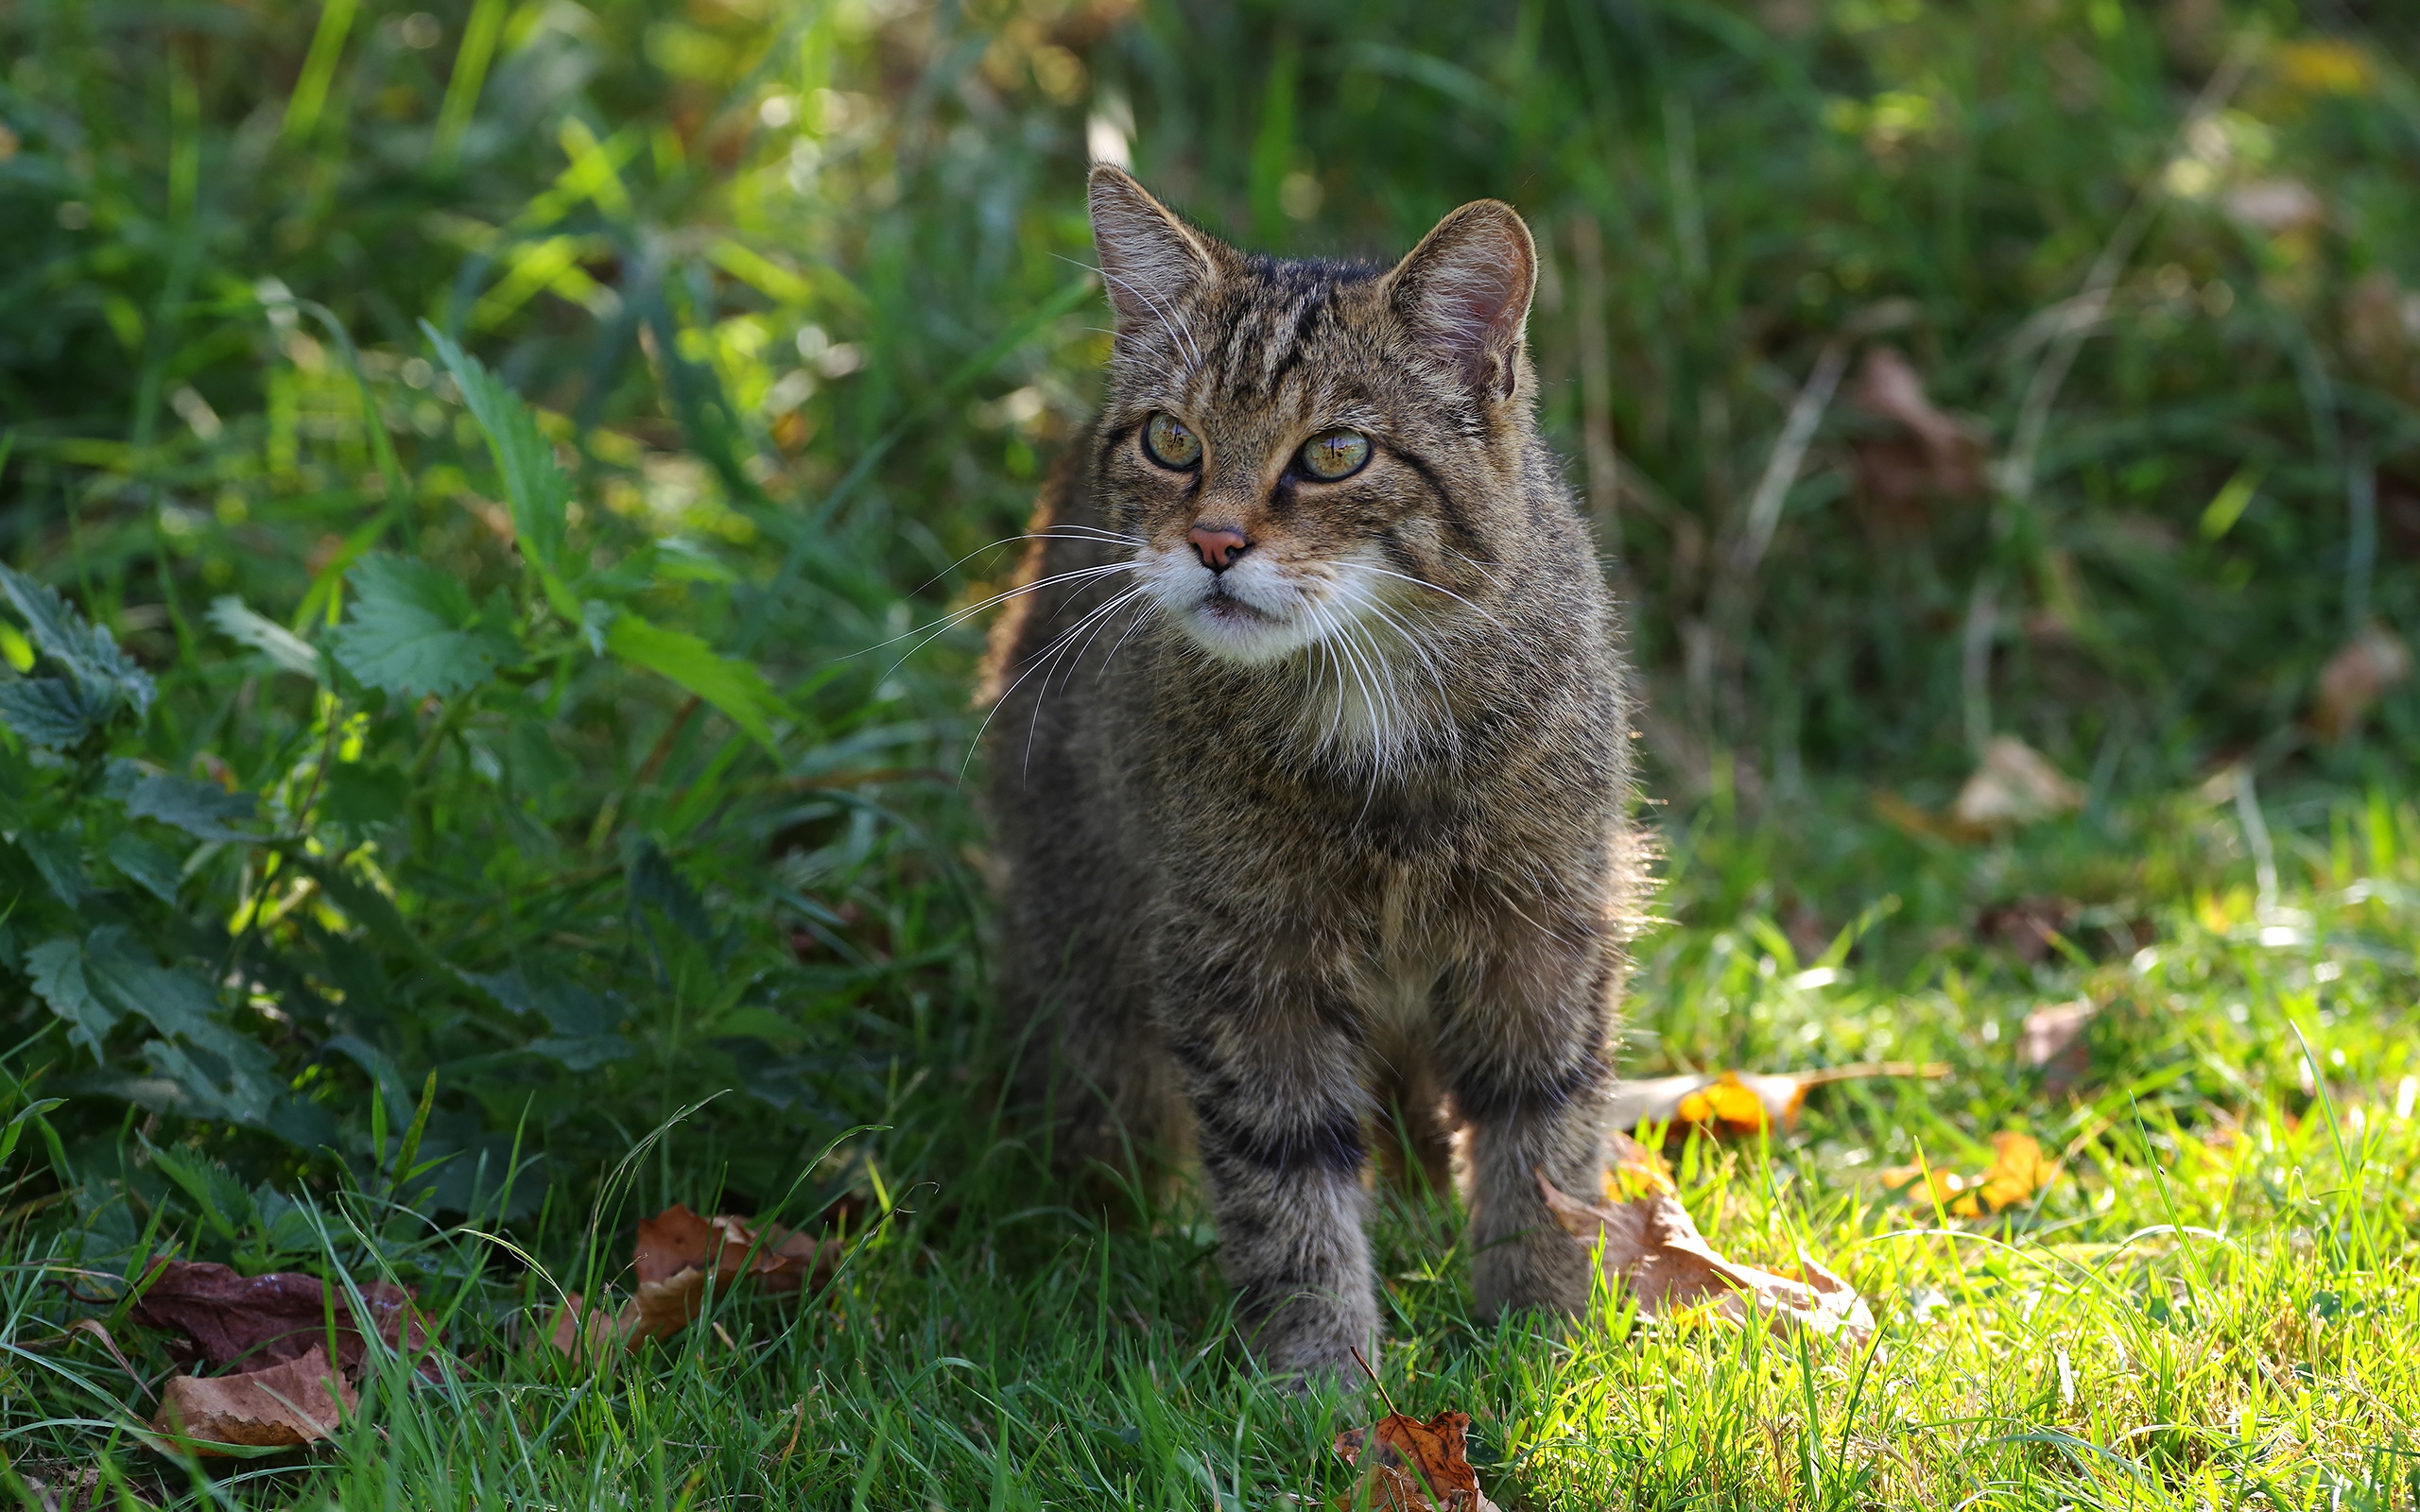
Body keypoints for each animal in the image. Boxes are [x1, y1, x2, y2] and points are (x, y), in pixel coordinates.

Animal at [982, 164, 1645, 1383]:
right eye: (1170, 440)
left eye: (1335, 452)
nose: (1213, 543)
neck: (1366, 710)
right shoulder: (1243, 961)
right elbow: (1288, 1186)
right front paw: (1321, 1384)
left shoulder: (1545, 928)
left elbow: (1541, 1144)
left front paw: (1536, 1340)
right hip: (1089, 953)